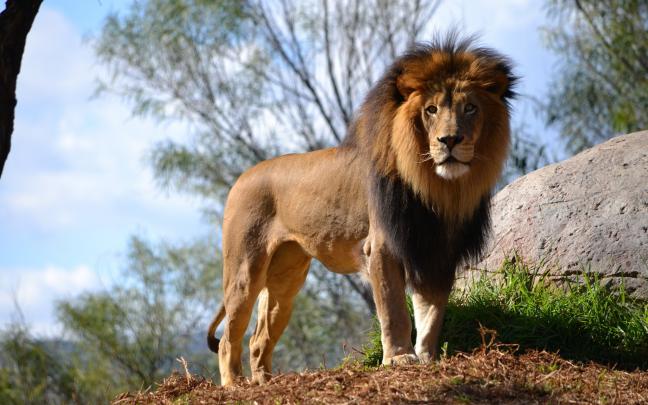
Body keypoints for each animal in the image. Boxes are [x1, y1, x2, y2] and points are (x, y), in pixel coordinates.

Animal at [207, 34, 516, 386]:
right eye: (431, 109)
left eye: (470, 108)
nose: (450, 140)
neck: (438, 188)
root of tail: (242, 177)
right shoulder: (382, 246)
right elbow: (394, 309)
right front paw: (399, 358)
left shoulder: (436, 250)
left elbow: (432, 311)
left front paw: (428, 358)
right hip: (245, 268)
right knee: (229, 336)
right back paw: (234, 384)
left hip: (286, 276)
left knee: (259, 338)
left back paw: (264, 381)